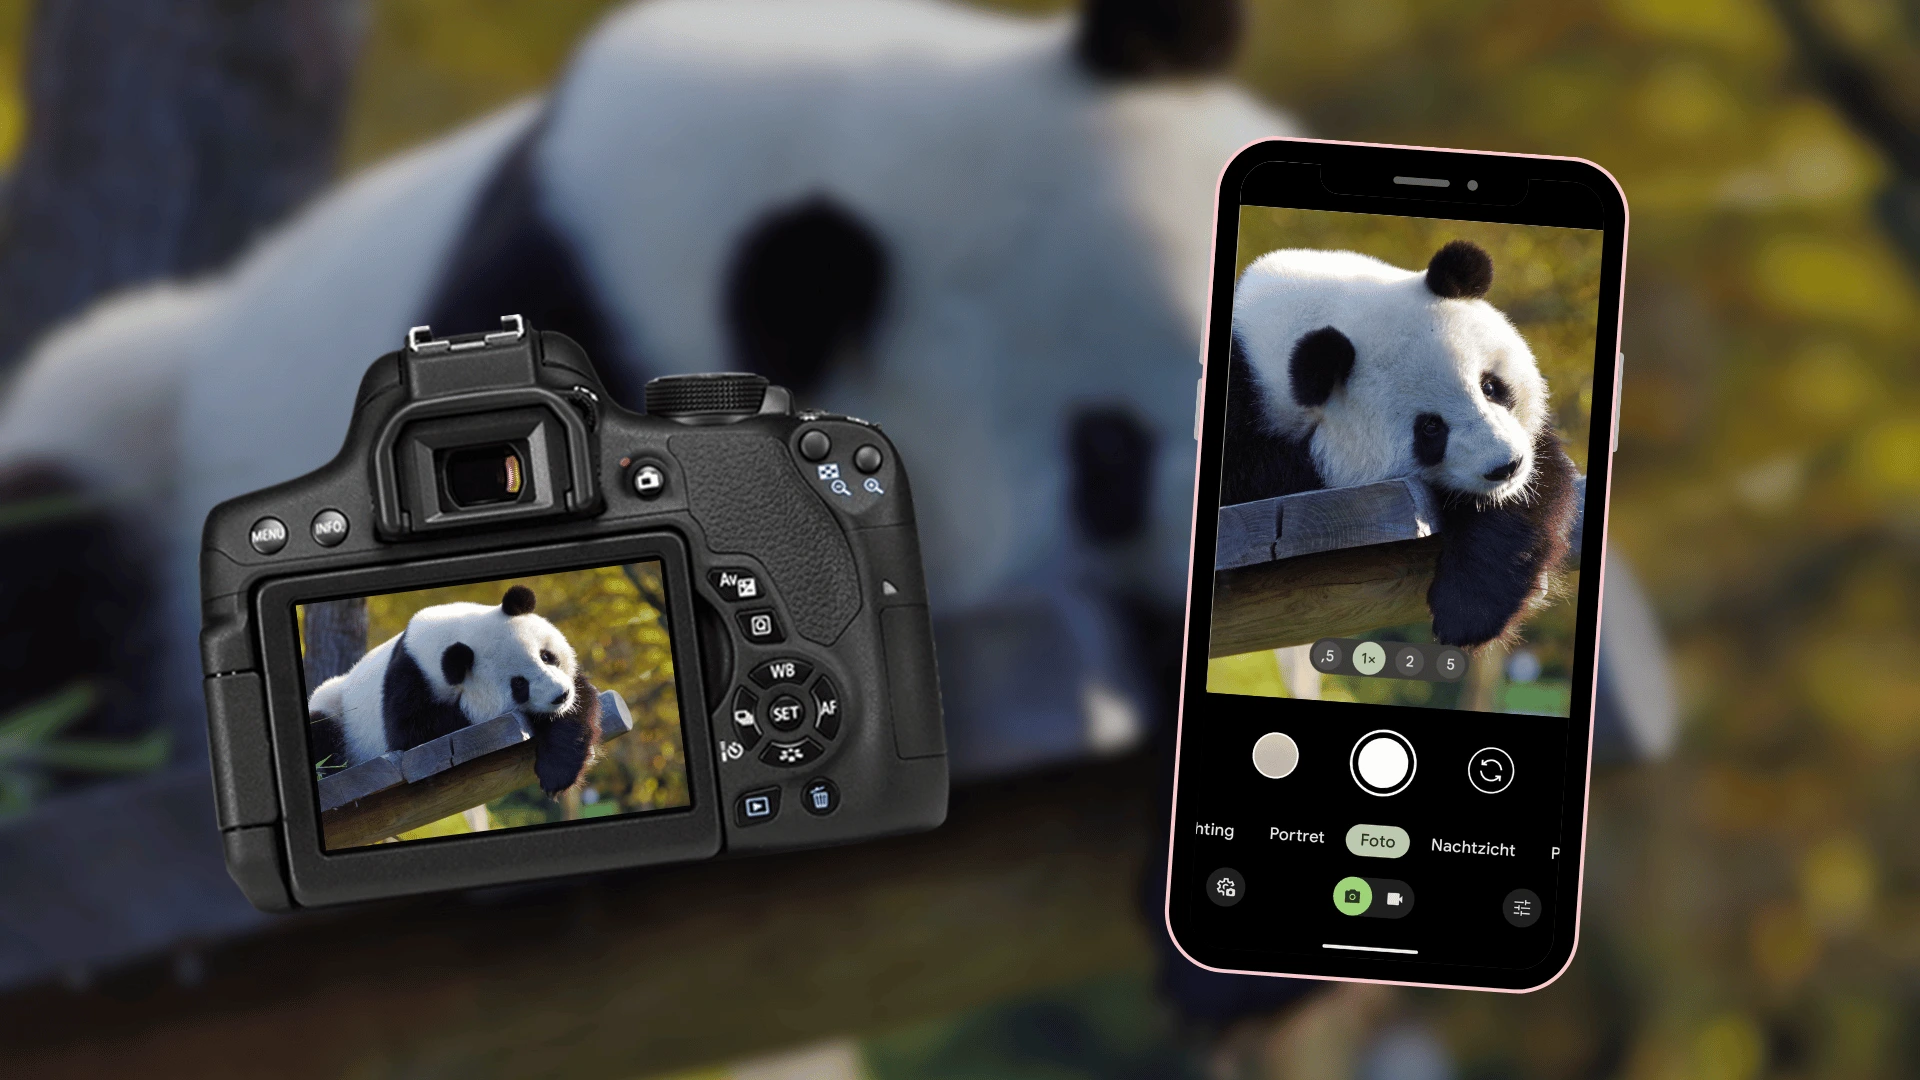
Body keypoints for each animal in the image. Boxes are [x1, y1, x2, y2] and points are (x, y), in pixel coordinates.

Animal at [308, 586, 604, 796]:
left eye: (546, 656)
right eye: (519, 684)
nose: (560, 695)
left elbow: (579, 703)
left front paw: (557, 773)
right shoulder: (407, 682)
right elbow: (414, 735)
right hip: (336, 710)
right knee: (322, 733)